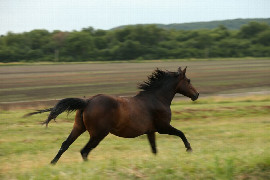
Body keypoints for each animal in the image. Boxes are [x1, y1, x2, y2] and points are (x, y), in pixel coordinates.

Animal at [25, 66, 198, 165]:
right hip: (98, 134)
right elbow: (181, 133)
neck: (157, 98)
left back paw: (52, 164)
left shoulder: (151, 131)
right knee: (84, 151)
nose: (196, 95)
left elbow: (154, 149)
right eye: (189, 80)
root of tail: (87, 101)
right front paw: (189, 150)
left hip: (78, 128)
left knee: (65, 145)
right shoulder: (163, 127)